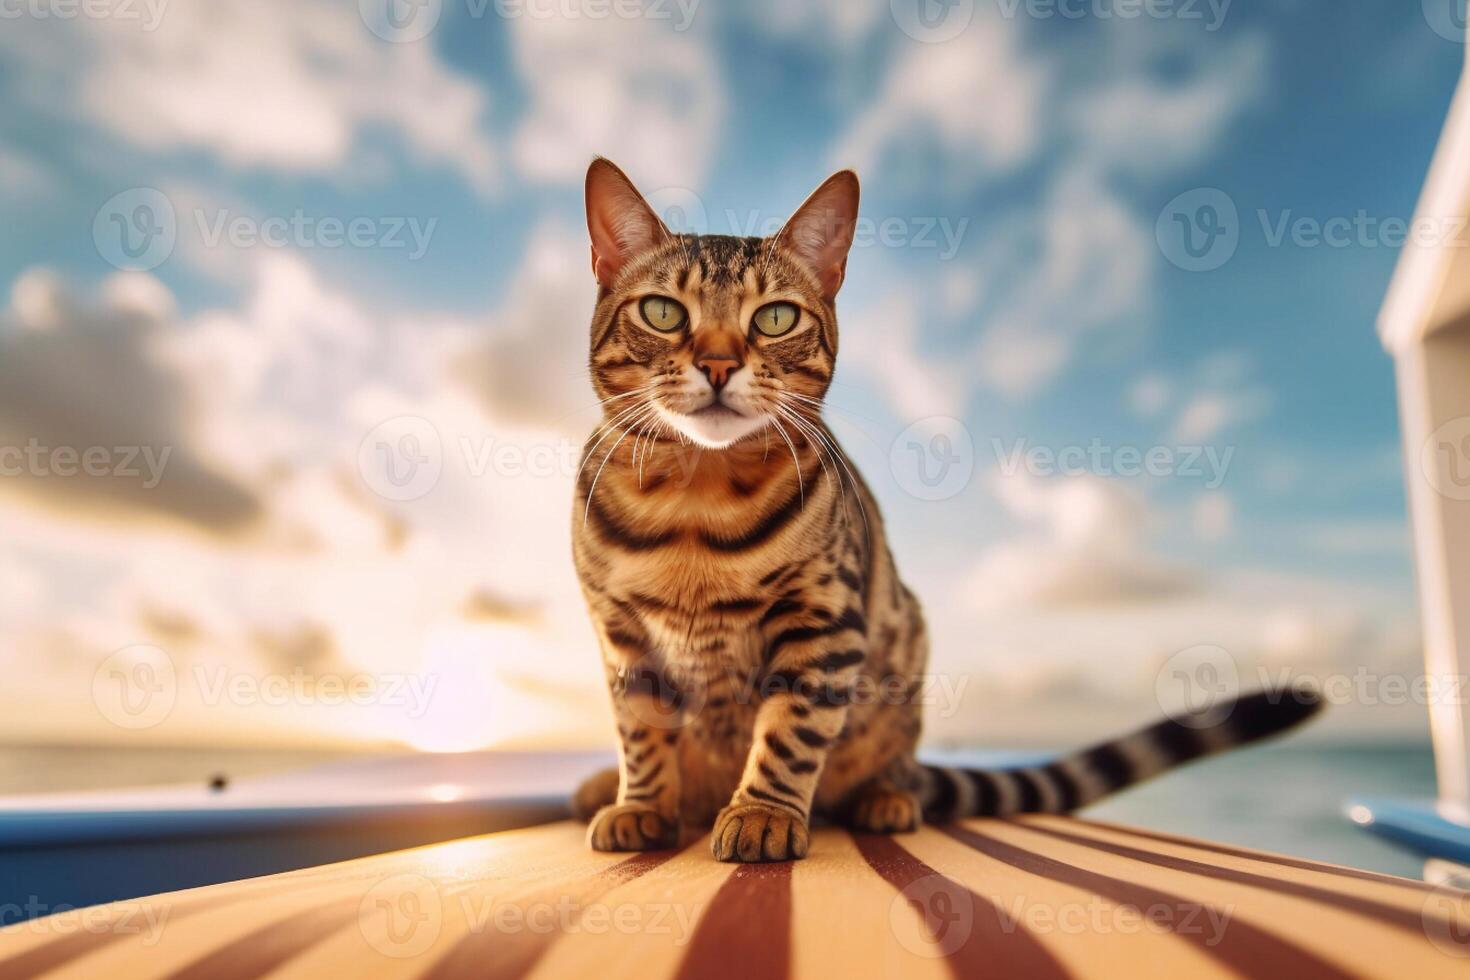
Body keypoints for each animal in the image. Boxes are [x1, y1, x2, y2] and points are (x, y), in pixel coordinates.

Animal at [564, 157, 1323, 863]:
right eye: (663, 312)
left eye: (775, 317)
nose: (719, 365)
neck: (696, 499)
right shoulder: (620, 632)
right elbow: (641, 730)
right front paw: (644, 803)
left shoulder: (823, 622)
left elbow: (790, 729)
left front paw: (762, 811)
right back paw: (616, 789)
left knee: (889, 765)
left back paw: (884, 799)